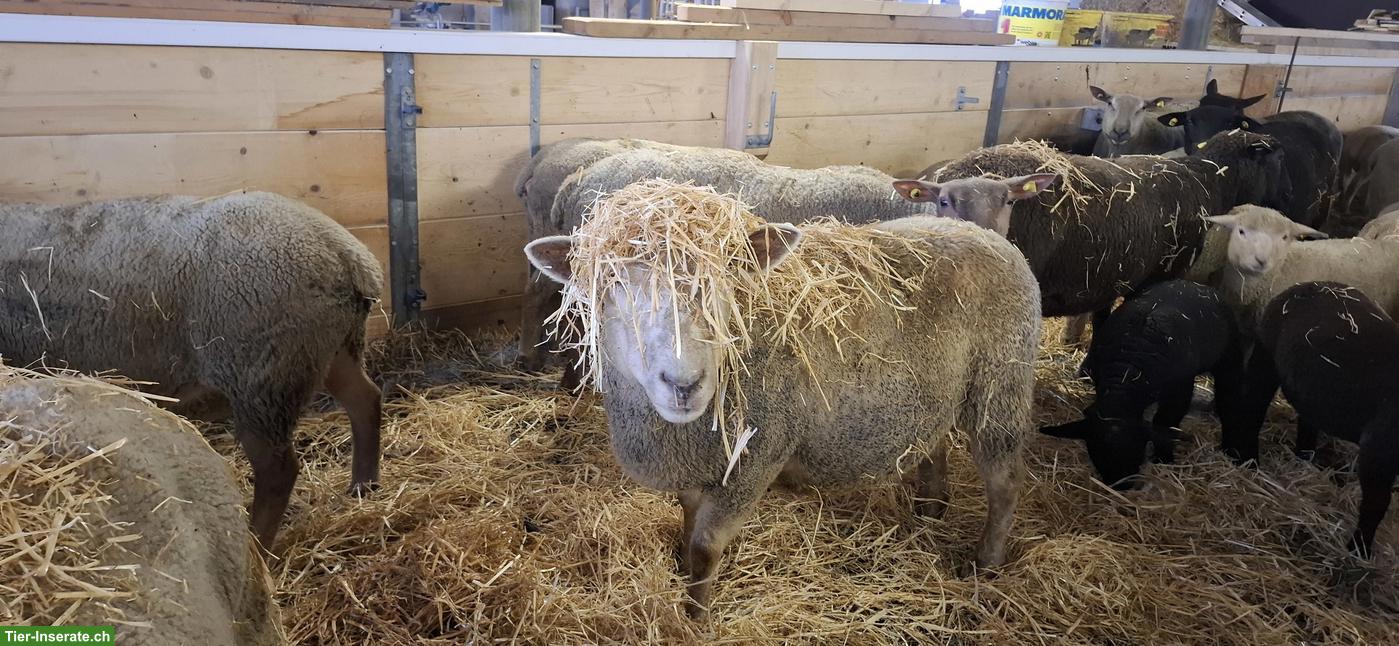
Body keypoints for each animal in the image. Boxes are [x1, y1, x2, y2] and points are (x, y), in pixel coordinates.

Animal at [0, 192, 384, 549]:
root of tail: (345, 253)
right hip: (326, 349)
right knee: (365, 399)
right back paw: (363, 486)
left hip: (260, 375)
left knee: (278, 469)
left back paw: (257, 544)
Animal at [525, 207, 1041, 617]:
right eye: (611, 284)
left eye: (724, 283)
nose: (684, 385)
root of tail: (992, 236)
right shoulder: (699, 462)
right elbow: (688, 522)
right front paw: (681, 572)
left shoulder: (758, 456)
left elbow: (706, 547)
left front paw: (695, 615)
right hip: (938, 395)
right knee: (934, 447)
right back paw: (930, 512)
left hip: (1001, 387)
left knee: (1006, 480)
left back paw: (987, 561)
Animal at [1040, 280, 1243, 490]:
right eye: (1095, 450)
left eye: (1135, 449)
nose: (1120, 486)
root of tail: (1193, 284)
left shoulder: (1179, 390)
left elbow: (1165, 422)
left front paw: (1163, 458)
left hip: (1230, 352)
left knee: (1229, 389)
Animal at [1226, 281, 1399, 557]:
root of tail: (1310, 285)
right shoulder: (1379, 451)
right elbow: (1375, 505)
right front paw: (1358, 549)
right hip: (1265, 356)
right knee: (1253, 407)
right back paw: (1249, 460)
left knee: (1307, 420)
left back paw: (1304, 458)